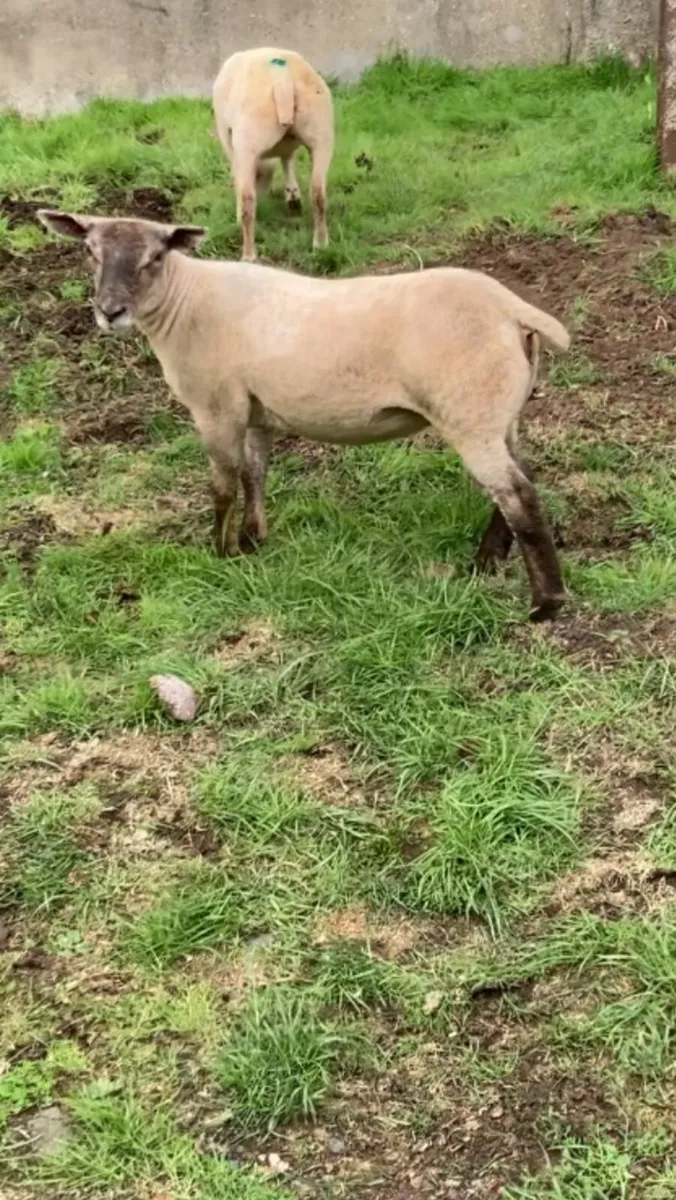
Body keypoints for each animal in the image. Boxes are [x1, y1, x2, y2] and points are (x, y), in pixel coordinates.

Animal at [37, 209, 571, 622]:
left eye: (155, 256)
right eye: (90, 252)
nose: (110, 312)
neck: (185, 301)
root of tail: (513, 311)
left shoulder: (216, 406)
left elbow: (223, 485)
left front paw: (221, 552)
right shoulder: (255, 410)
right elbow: (254, 474)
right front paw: (253, 540)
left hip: (469, 413)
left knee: (519, 496)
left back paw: (546, 603)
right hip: (499, 412)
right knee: (518, 481)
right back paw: (485, 563)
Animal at [212, 47, 334, 261]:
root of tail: (281, 79)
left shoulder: (229, 142)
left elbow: (238, 180)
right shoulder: (288, 146)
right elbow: (288, 160)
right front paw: (293, 197)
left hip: (247, 139)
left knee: (248, 200)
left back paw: (249, 255)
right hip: (321, 132)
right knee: (318, 192)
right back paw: (320, 244)